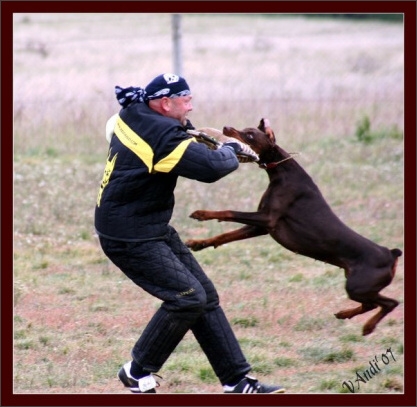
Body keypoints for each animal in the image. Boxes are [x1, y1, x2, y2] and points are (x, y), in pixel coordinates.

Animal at [185, 117, 400, 334]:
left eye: (250, 135)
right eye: (245, 128)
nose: (226, 127)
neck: (282, 172)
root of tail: (391, 254)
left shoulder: (267, 219)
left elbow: (229, 212)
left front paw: (202, 214)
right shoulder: (261, 227)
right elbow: (225, 236)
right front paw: (198, 243)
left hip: (357, 286)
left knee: (390, 303)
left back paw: (368, 326)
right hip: (359, 286)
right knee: (371, 304)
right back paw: (345, 314)